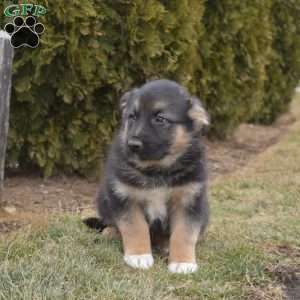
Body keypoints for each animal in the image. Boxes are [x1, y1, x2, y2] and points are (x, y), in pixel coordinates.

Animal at [94, 79, 209, 274]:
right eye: (132, 116)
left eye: (160, 119)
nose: (132, 144)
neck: (157, 169)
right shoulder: (125, 196)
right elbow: (135, 227)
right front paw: (139, 256)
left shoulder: (189, 199)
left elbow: (184, 233)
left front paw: (183, 262)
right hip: (103, 199)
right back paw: (110, 233)